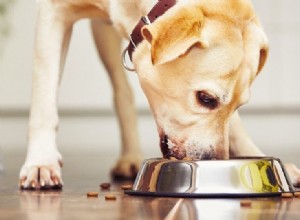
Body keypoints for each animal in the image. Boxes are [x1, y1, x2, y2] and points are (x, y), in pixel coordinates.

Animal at [19, 0, 300, 189]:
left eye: (239, 106)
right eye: (205, 98)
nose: (216, 162)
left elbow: (236, 127)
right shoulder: (54, 12)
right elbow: (44, 98)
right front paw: (41, 162)